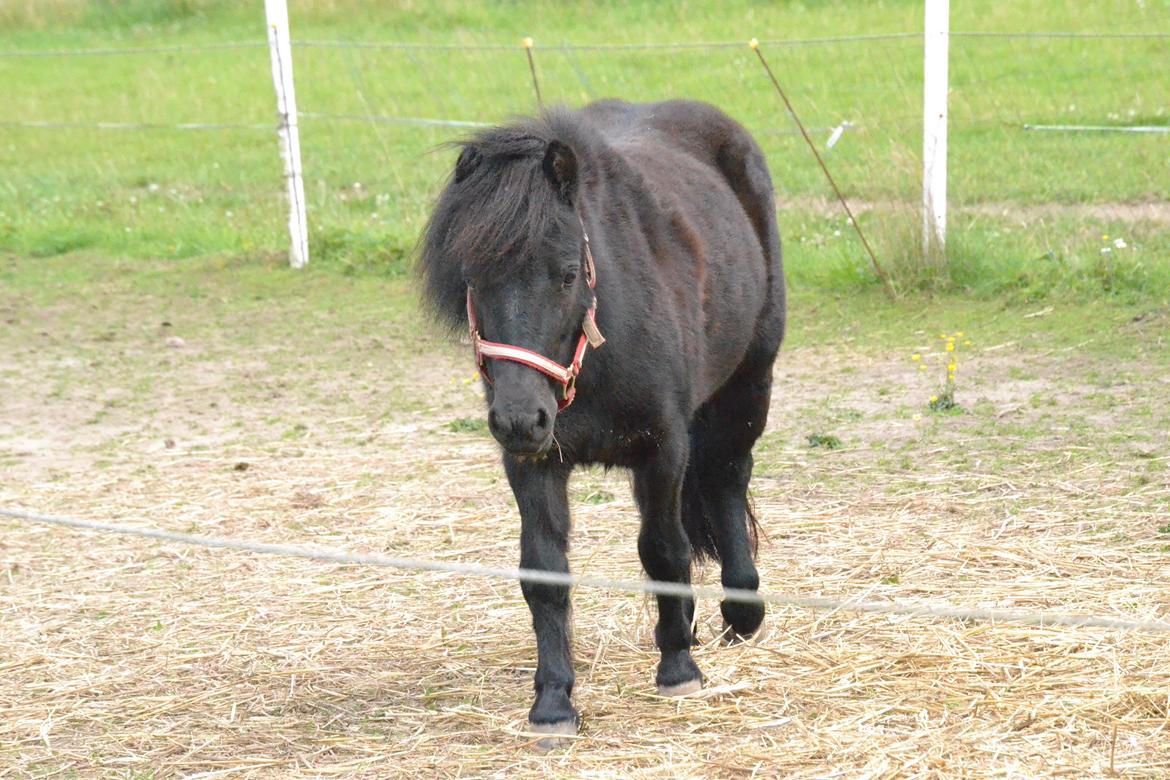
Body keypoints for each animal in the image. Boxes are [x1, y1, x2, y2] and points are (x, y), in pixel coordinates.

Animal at [421, 100, 786, 748]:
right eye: (474, 278)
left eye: (567, 274)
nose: (519, 418)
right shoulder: (534, 464)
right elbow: (545, 574)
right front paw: (553, 703)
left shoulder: (663, 448)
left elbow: (664, 550)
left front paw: (678, 671)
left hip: (748, 382)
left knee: (726, 477)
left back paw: (741, 607)